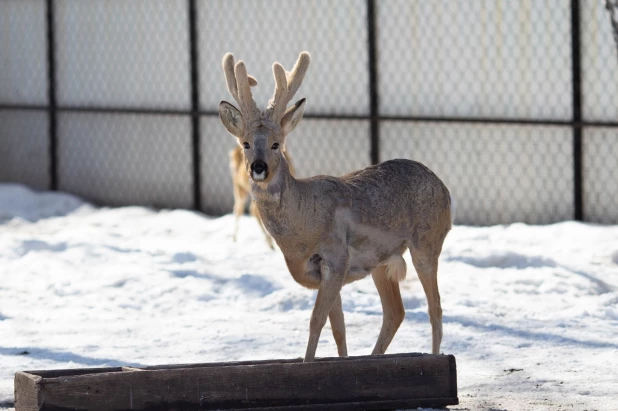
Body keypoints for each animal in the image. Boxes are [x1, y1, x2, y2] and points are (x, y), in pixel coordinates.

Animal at [219, 52, 450, 364]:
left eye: (277, 144)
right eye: (245, 143)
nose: (258, 167)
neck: (302, 228)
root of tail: (443, 187)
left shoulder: (336, 257)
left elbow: (316, 321)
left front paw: (307, 364)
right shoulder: (323, 272)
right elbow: (338, 328)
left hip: (427, 242)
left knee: (434, 307)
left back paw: (437, 356)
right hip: (383, 261)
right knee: (396, 312)